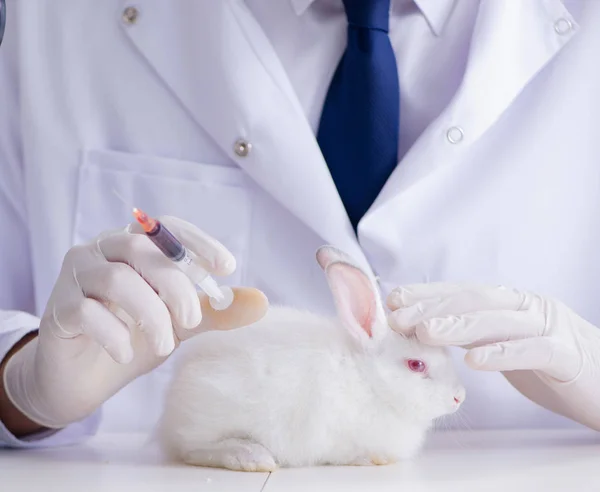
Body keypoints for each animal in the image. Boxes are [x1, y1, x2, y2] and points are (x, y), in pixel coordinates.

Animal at [156, 246, 464, 472]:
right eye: (416, 365)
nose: (459, 397)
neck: (371, 382)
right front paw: (370, 459)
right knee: (193, 449)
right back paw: (253, 457)